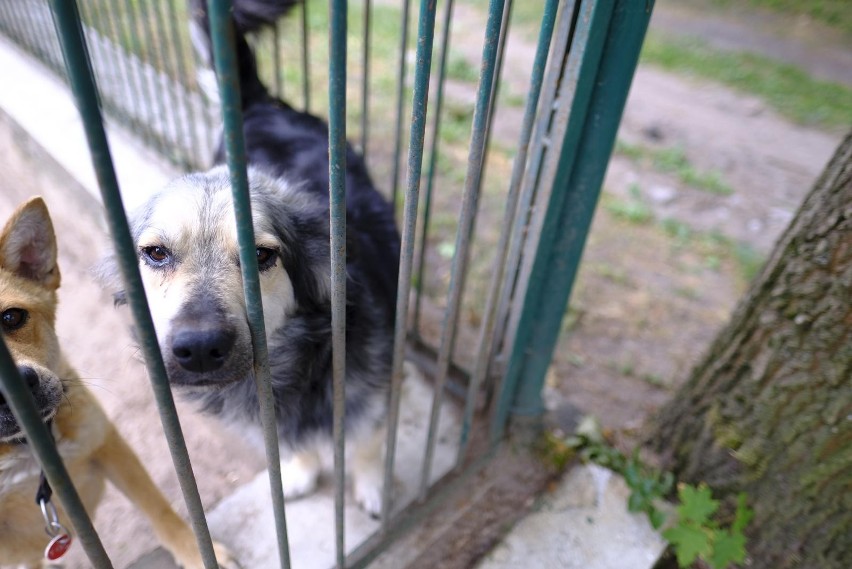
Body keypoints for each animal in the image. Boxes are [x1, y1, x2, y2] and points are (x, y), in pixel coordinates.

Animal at [0, 196, 236, 568]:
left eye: (11, 317)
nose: (17, 389)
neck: (26, 450)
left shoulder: (110, 445)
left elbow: (158, 508)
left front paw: (195, 551)